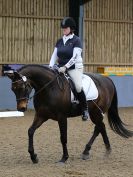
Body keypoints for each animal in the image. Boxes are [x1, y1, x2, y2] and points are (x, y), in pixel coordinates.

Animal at [4, 64, 133, 163]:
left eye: (23, 86)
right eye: (13, 89)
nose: (21, 108)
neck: (49, 88)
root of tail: (107, 80)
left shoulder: (62, 117)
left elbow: (63, 137)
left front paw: (64, 158)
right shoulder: (41, 115)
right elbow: (30, 131)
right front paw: (33, 156)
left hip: (96, 112)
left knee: (98, 128)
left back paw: (89, 151)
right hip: (95, 113)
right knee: (101, 127)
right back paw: (104, 151)